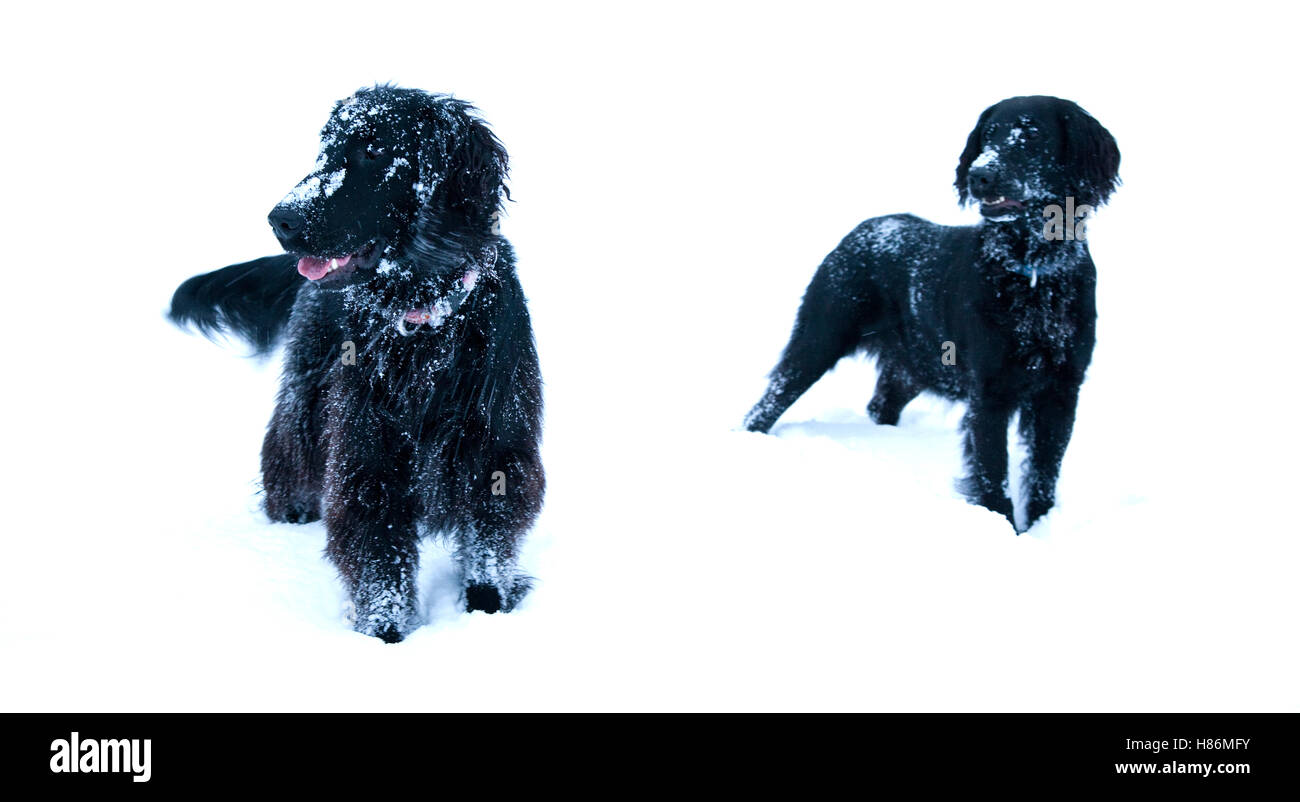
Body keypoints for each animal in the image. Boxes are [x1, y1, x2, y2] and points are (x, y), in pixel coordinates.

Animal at [169, 84, 543, 642]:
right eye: (324, 149)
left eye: (374, 151)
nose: (280, 220)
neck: (422, 320)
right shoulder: (368, 454)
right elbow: (380, 561)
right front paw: (383, 633)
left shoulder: (496, 454)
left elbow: (488, 551)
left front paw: (487, 610)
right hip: (309, 386)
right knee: (288, 445)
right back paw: (288, 515)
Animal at [748, 95, 1123, 532]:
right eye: (988, 134)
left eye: (1031, 134)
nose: (980, 175)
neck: (1032, 272)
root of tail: (863, 229)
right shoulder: (989, 393)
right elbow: (993, 472)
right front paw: (1002, 526)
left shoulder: (1061, 391)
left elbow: (1043, 472)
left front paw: (1041, 527)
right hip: (819, 339)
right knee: (768, 402)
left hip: (917, 365)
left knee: (880, 404)